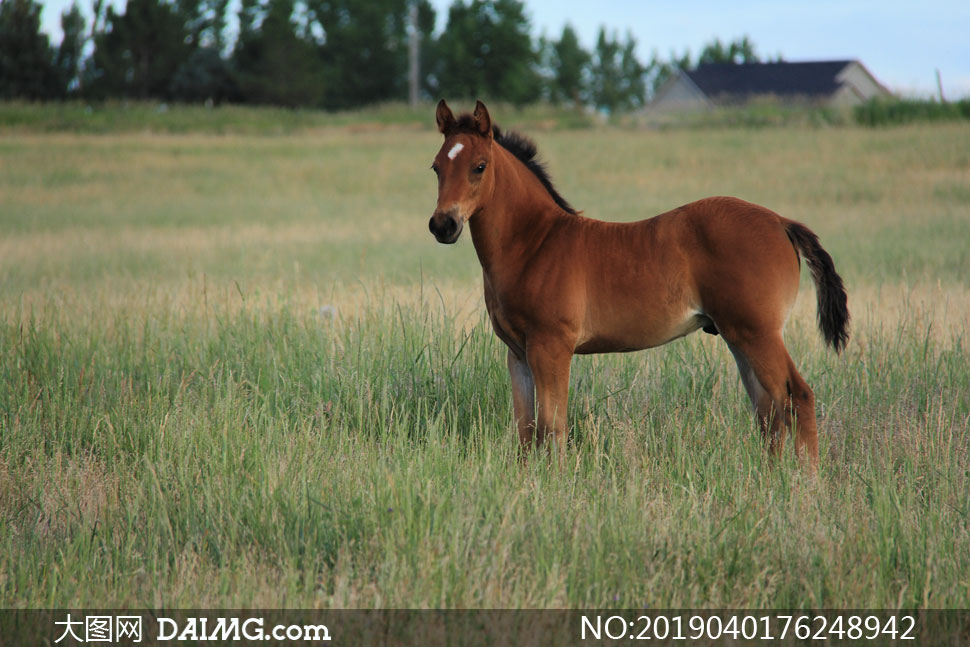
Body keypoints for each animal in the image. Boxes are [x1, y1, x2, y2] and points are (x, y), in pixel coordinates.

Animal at [428, 100, 844, 470]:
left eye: (479, 167)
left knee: (797, 398)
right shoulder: (517, 353)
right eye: (436, 167)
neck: (535, 243)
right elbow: (527, 430)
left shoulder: (551, 346)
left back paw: (805, 488)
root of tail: (781, 222)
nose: (443, 225)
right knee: (768, 410)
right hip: (739, 337)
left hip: (759, 333)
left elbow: (553, 427)